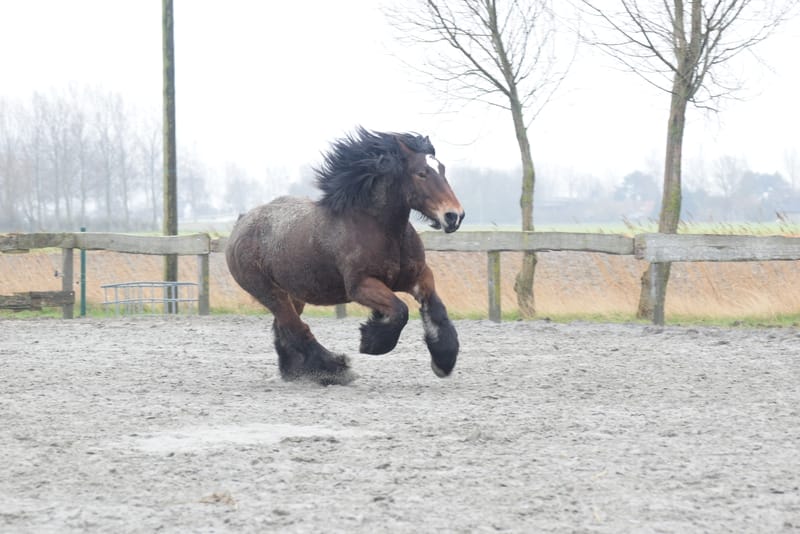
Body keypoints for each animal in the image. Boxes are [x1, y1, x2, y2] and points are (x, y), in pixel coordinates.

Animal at [225, 127, 465, 385]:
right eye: (421, 173)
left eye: (442, 169)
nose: (454, 216)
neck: (381, 229)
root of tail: (241, 223)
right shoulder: (360, 285)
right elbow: (400, 310)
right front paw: (371, 341)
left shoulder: (418, 276)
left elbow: (436, 309)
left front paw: (444, 360)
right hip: (270, 293)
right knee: (296, 328)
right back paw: (333, 369)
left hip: (294, 294)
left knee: (283, 328)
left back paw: (295, 371)